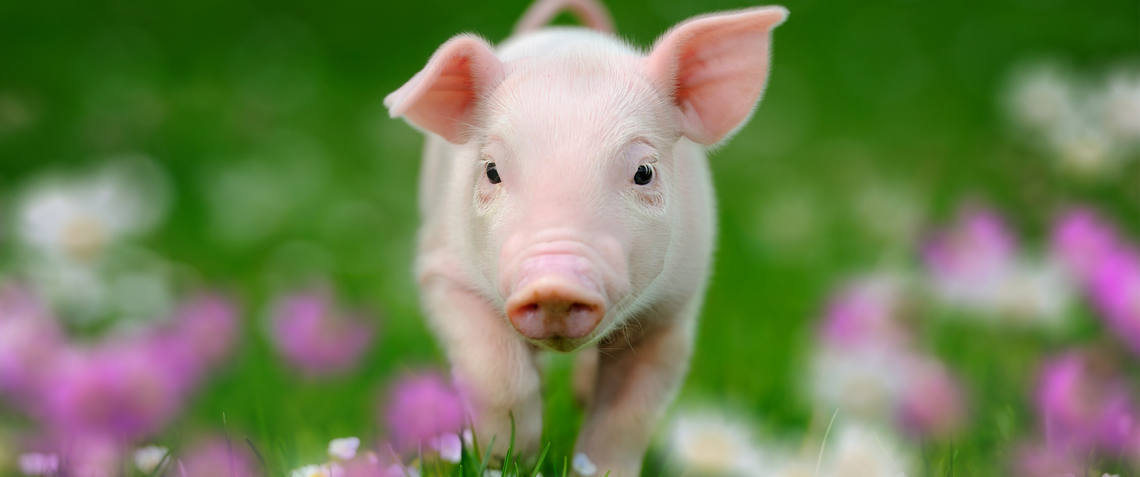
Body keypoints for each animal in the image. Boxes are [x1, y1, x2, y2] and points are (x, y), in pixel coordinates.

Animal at [385, 0, 787, 474]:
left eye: (644, 172)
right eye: (492, 171)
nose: (554, 285)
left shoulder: (674, 309)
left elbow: (628, 413)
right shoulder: (442, 272)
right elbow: (498, 376)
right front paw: (506, 456)